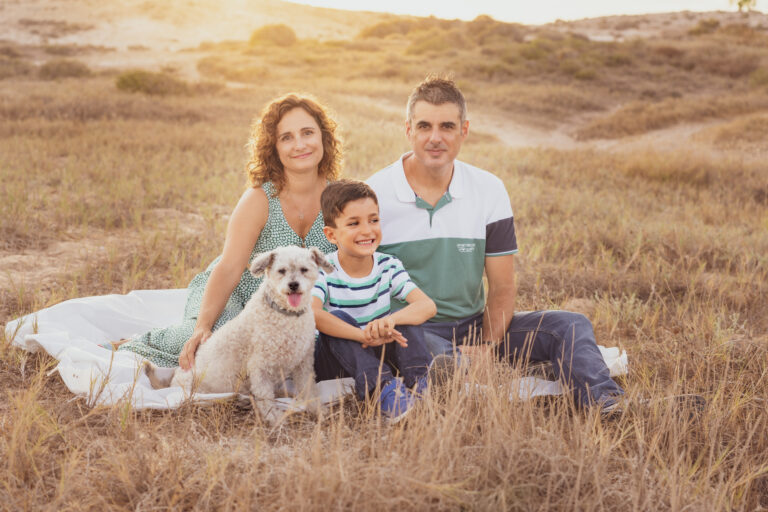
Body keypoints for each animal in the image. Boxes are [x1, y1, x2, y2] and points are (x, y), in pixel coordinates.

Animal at [146, 244, 334, 424]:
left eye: (304, 269)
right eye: (282, 270)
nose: (293, 285)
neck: (286, 314)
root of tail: (172, 381)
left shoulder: (304, 363)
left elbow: (309, 389)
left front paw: (317, 410)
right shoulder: (260, 365)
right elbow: (265, 395)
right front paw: (273, 418)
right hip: (198, 390)